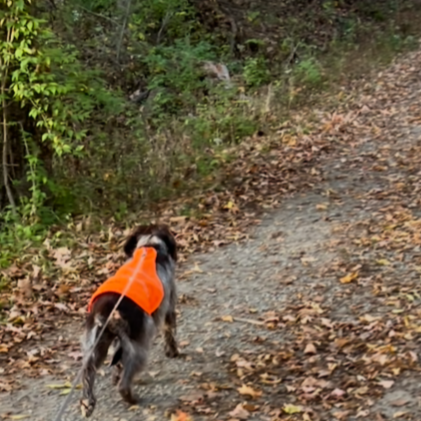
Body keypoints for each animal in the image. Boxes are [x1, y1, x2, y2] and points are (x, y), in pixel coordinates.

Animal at [80, 224, 179, 417]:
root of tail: (106, 311)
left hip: (97, 345)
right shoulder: (169, 305)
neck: (149, 247)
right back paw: (131, 397)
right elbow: (169, 331)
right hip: (138, 347)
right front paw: (173, 351)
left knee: (88, 372)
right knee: (124, 384)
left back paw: (88, 403)